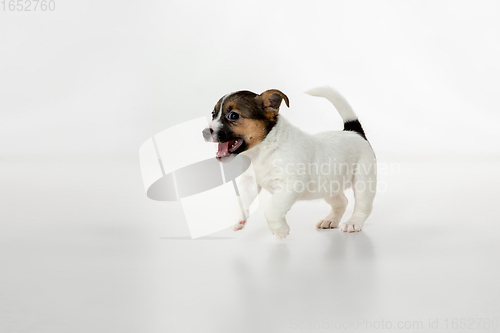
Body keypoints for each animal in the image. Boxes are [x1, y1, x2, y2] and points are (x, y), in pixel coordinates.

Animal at [202, 85, 376, 236]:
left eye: (233, 115)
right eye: (213, 114)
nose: (204, 132)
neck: (262, 151)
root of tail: (354, 132)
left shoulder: (290, 186)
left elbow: (270, 209)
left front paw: (280, 230)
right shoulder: (249, 182)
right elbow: (240, 200)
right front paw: (238, 219)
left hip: (362, 182)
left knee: (363, 207)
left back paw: (353, 223)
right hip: (329, 186)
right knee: (342, 201)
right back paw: (330, 220)